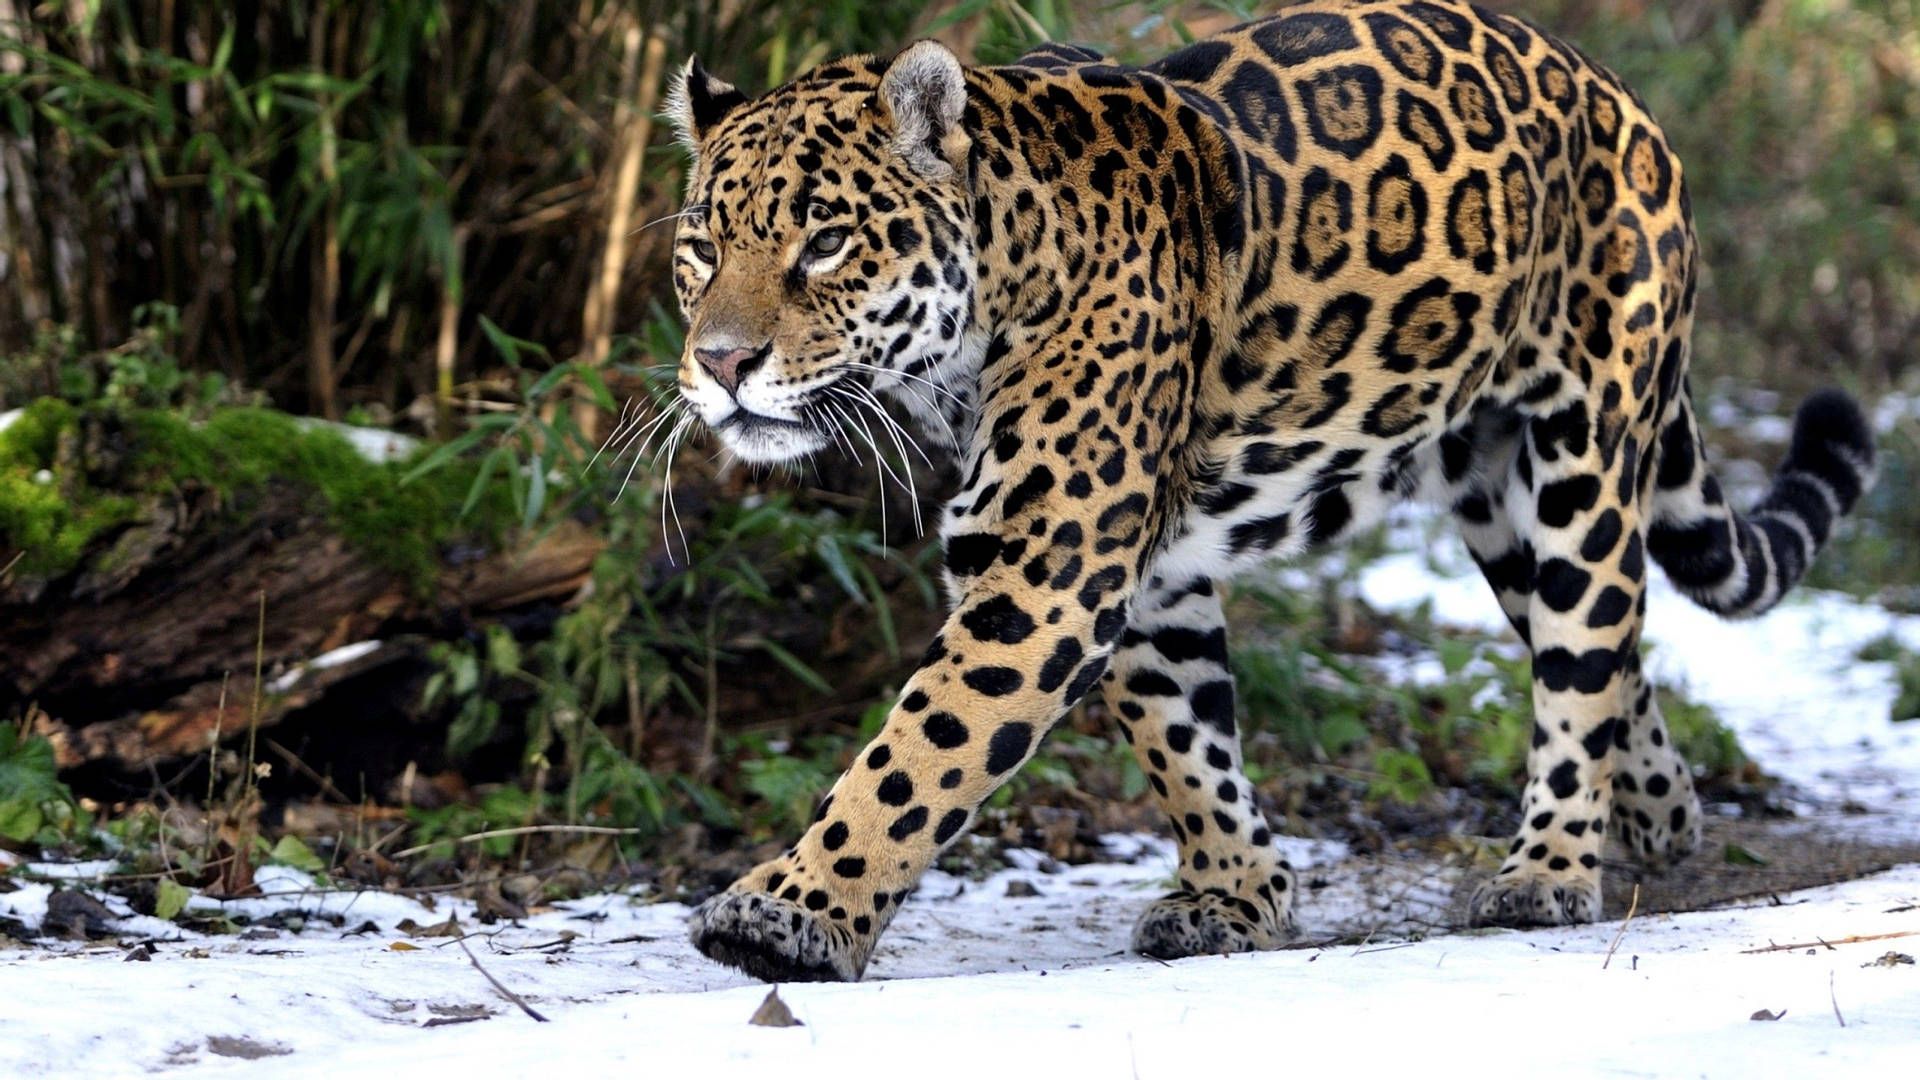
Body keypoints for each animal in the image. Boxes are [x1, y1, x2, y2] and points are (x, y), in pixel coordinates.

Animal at [659, 0, 1877, 981]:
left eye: (826, 243)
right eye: (703, 247)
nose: (720, 364)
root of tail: (1621, 98)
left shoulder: (1051, 570)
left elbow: (918, 754)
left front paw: (786, 915)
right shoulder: (1136, 572)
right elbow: (1185, 737)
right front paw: (1238, 896)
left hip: (1583, 446)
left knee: (1585, 652)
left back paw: (1549, 870)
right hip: (1495, 497)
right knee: (1609, 644)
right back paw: (1660, 817)